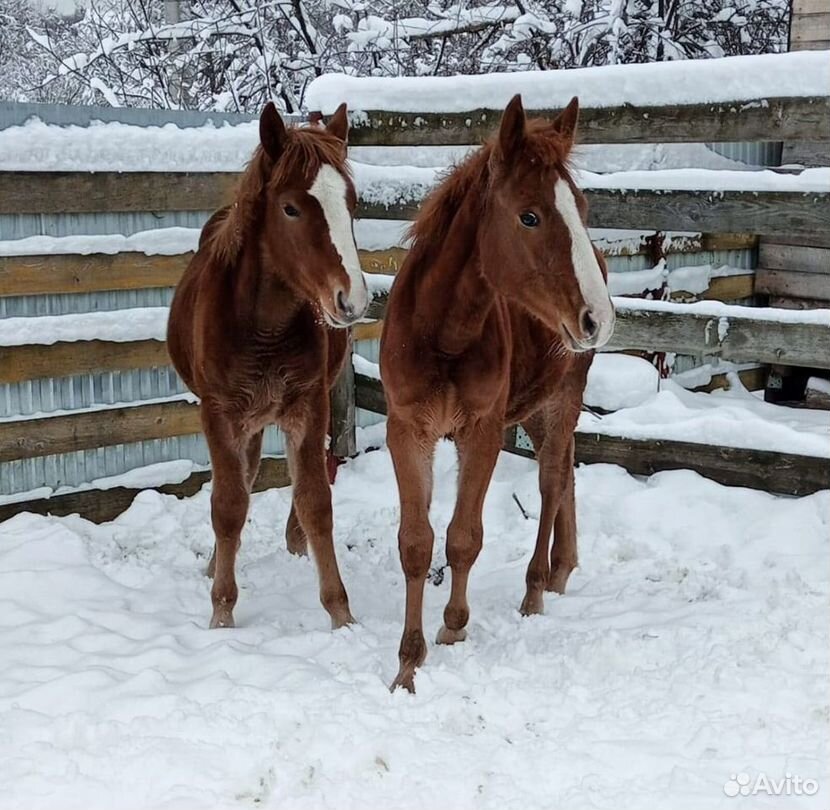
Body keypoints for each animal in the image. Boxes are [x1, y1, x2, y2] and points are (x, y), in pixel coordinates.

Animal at [167, 102, 368, 632]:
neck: (263, 326)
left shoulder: (308, 404)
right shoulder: (218, 413)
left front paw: (341, 614)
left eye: (352, 203)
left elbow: (316, 500)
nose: (352, 300)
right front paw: (221, 612)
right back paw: (216, 563)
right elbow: (228, 504)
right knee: (242, 479)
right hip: (244, 417)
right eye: (291, 208)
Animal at [380, 94, 616, 688]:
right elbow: (416, 543)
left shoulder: (481, 431)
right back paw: (561, 571)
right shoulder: (407, 431)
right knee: (567, 473)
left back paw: (536, 590)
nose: (598, 319)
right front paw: (406, 666)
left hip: (563, 398)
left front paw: (453, 627)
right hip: (534, 406)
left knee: (552, 482)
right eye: (529, 216)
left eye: (581, 208)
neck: (443, 335)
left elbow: (464, 537)